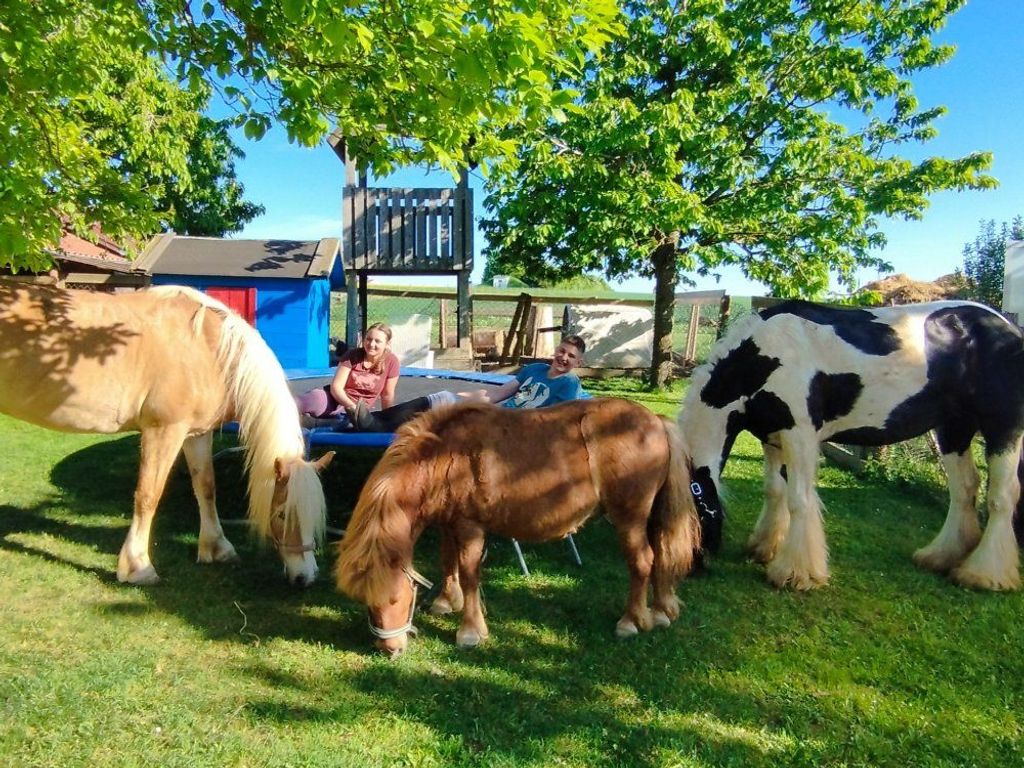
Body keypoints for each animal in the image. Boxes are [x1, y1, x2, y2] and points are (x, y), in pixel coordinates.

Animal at [0, 280, 334, 586]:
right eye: (282, 515)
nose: (306, 577)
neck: (209, 348)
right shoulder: (164, 431)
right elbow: (149, 495)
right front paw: (137, 567)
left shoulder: (196, 434)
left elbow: (206, 487)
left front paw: (217, 548)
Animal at [335, 398, 705, 657]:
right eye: (368, 603)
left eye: (396, 597)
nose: (390, 649)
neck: (443, 456)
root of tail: (654, 420)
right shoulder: (449, 523)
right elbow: (447, 560)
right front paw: (446, 601)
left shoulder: (469, 526)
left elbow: (469, 573)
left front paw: (470, 631)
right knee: (660, 555)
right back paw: (660, 611)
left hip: (629, 516)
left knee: (642, 560)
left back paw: (631, 621)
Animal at [680, 298, 1024, 591]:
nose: (691, 567)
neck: (763, 356)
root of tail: (1007, 327)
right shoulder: (772, 436)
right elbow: (775, 491)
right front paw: (765, 548)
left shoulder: (799, 434)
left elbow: (799, 499)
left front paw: (797, 574)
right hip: (953, 429)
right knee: (964, 488)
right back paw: (941, 557)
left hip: (1002, 428)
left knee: (1001, 497)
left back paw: (984, 575)